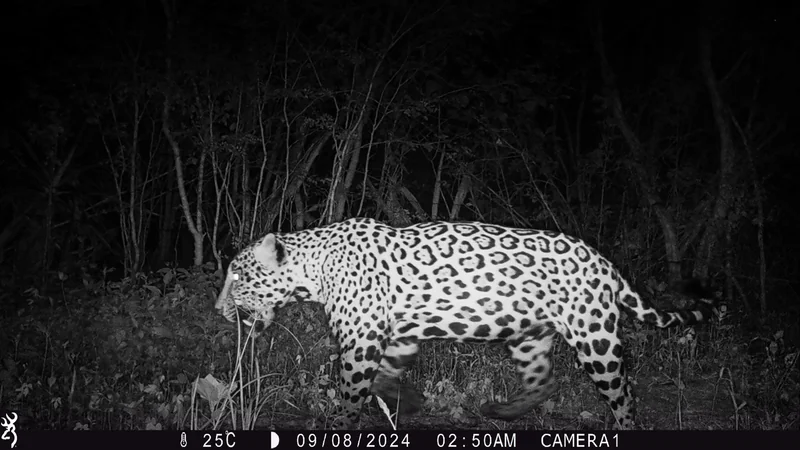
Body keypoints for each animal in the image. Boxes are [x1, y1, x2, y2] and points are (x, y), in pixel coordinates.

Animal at [214, 217, 716, 430]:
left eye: (237, 276)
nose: (219, 310)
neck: (315, 268)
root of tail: (605, 262)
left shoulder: (361, 340)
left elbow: (353, 390)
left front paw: (340, 424)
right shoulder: (396, 335)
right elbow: (387, 378)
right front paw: (411, 401)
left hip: (595, 337)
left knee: (623, 393)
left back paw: (624, 426)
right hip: (529, 335)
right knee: (545, 381)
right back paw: (500, 411)